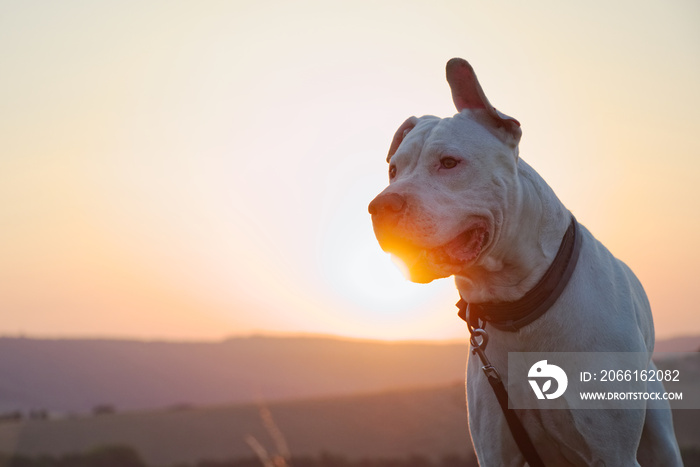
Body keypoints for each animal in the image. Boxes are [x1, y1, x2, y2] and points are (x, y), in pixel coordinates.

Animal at [370, 59, 680, 467]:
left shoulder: (612, 451)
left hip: (659, 433)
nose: (379, 207)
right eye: (393, 170)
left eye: (449, 162)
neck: (518, 299)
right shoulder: (496, 449)